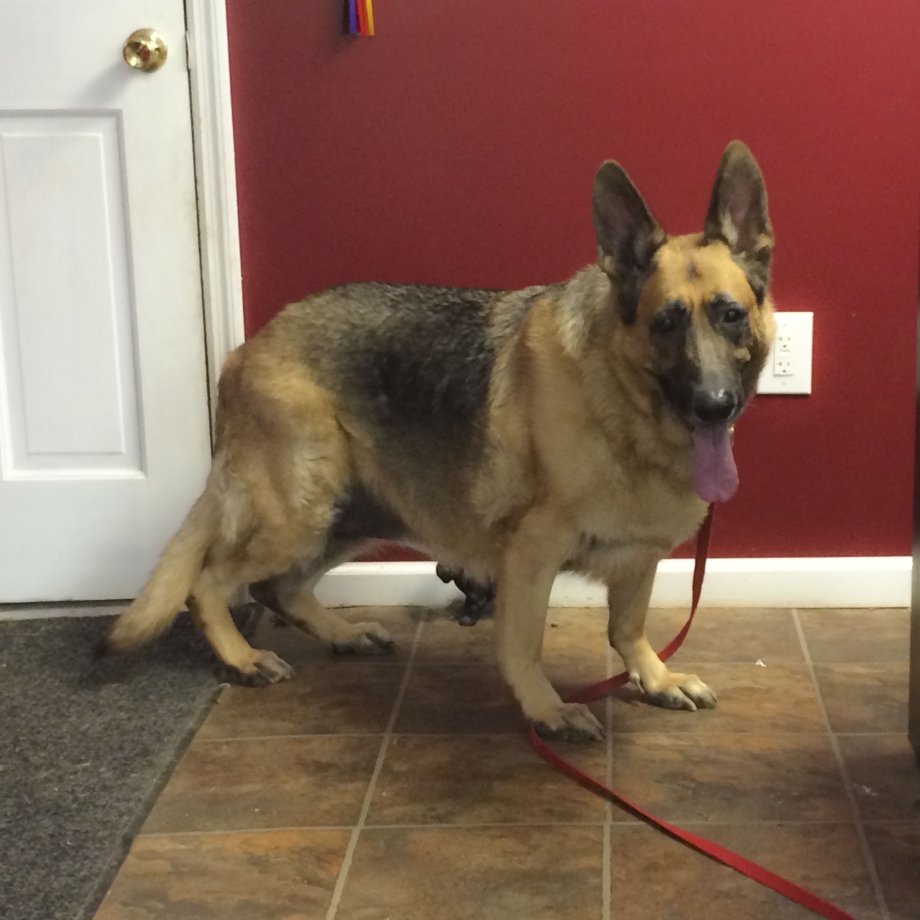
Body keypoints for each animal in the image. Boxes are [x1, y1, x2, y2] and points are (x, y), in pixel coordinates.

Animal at [104, 141, 775, 742]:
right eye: (665, 324)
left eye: (731, 316)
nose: (714, 406)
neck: (624, 405)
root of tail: (250, 347)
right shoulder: (531, 554)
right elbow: (523, 644)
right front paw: (545, 709)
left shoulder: (639, 556)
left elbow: (628, 629)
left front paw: (655, 679)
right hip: (302, 512)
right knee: (209, 581)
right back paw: (241, 657)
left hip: (351, 516)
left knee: (280, 587)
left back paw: (343, 635)